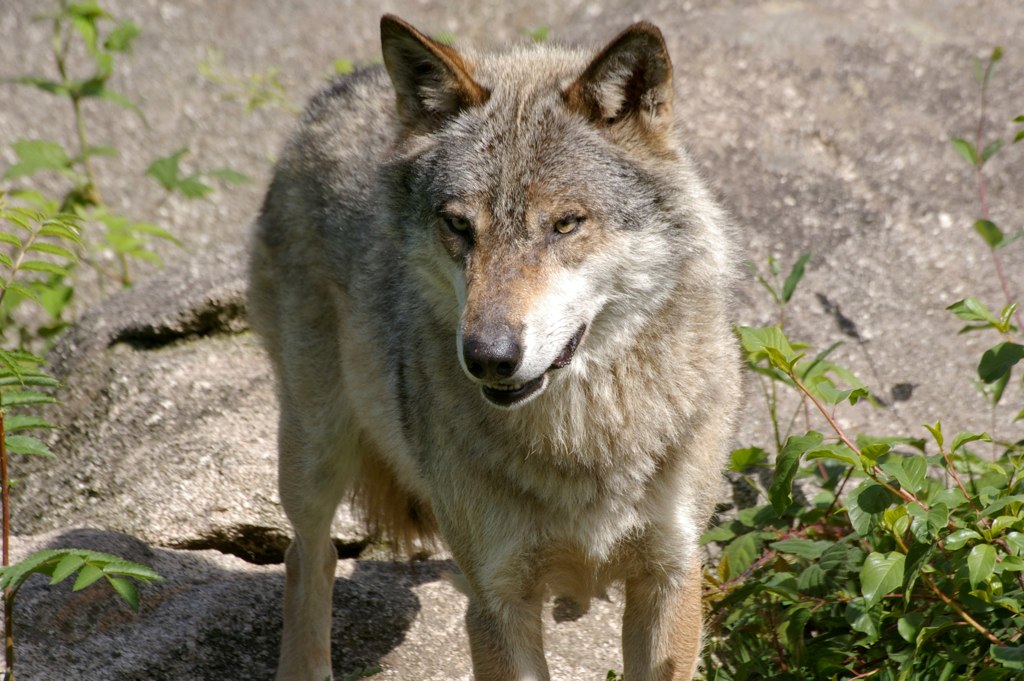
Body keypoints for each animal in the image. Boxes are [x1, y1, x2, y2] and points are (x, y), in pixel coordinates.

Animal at [248, 14, 740, 681]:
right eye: (460, 226)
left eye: (566, 224)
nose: (488, 356)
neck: (584, 440)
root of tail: (343, 86)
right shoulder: (498, 599)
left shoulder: (671, 576)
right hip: (316, 447)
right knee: (308, 554)